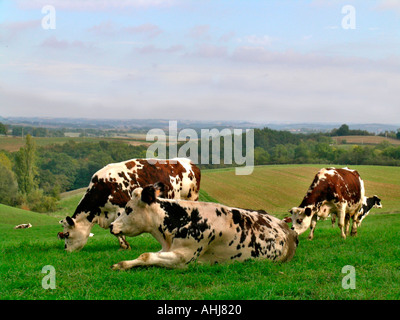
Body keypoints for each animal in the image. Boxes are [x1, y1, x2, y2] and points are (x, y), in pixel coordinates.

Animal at [58, 159, 200, 251]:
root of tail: (189, 162)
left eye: (67, 234)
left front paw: (125, 246)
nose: (66, 250)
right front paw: (123, 245)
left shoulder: (121, 209)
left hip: (192, 196)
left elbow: (115, 231)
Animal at [109, 182, 296, 270]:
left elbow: (146, 256)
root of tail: (287, 228)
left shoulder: (184, 258)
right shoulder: (166, 249)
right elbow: (146, 256)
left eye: (128, 208)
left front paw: (122, 264)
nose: (111, 225)